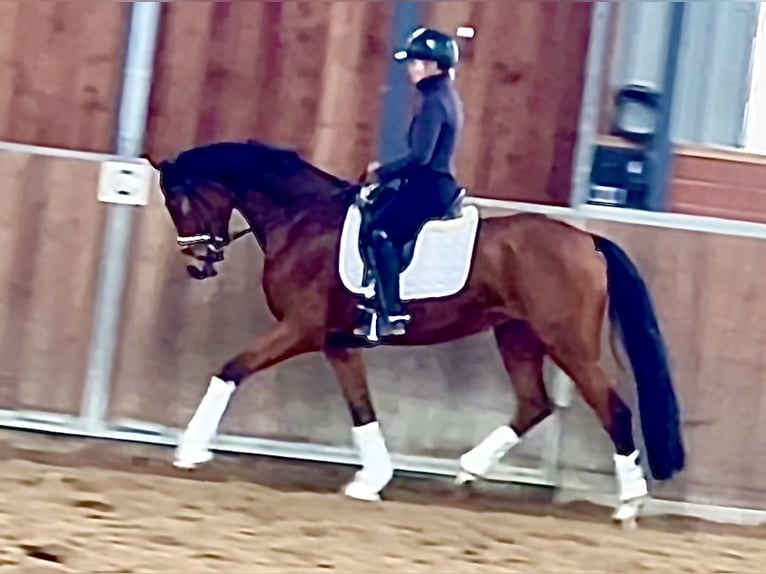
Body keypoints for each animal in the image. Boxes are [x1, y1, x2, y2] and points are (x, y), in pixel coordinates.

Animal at [144, 139, 685, 528]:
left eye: (179, 201)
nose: (198, 264)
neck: (302, 220)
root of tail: (587, 240)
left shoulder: (300, 328)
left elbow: (230, 369)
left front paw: (190, 451)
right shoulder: (337, 342)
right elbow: (362, 409)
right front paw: (371, 481)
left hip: (567, 343)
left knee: (613, 409)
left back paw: (629, 504)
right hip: (517, 335)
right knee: (533, 404)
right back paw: (468, 470)